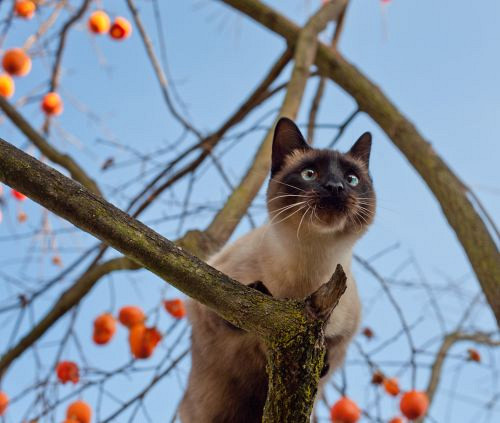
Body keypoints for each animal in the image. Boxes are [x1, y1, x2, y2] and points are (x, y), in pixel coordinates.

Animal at [180, 117, 376, 423]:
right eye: (309, 174)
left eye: (351, 179)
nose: (335, 187)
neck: (309, 261)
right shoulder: (206, 290)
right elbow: (232, 310)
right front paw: (256, 295)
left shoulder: (343, 335)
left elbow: (329, 351)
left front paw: (322, 363)